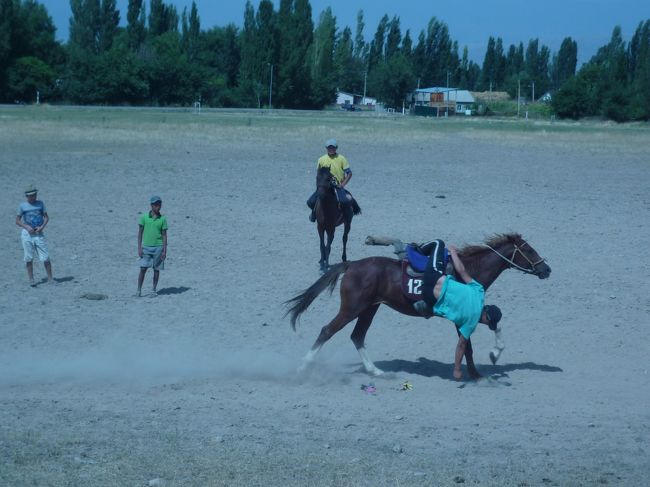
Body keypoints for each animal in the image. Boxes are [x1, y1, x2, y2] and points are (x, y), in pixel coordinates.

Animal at [286, 234, 548, 380]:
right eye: (528, 250)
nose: (547, 269)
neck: (469, 269)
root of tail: (352, 265)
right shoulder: (462, 315)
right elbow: (470, 346)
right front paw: (478, 372)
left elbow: (490, 325)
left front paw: (490, 358)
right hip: (352, 308)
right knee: (327, 331)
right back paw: (301, 367)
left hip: (369, 309)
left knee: (357, 336)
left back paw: (375, 371)